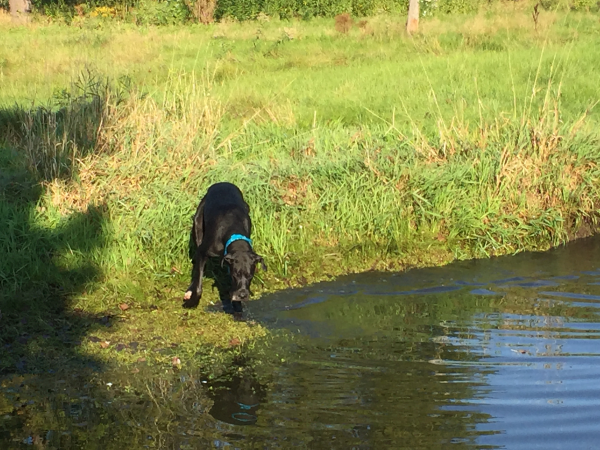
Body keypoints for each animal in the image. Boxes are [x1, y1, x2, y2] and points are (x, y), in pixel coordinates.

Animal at [184, 182, 266, 310]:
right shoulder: (203, 251)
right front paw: (192, 301)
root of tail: (222, 183)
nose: (242, 295)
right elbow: (198, 277)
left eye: (250, 275)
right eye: (236, 274)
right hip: (197, 224)